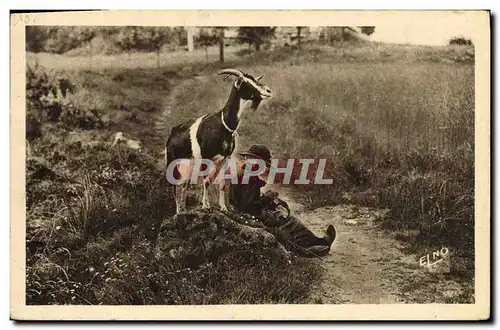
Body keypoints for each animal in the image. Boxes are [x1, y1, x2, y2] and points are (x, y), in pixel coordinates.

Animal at [164, 69, 274, 214]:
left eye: (255, 79)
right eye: (245, 82)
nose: (268, 91)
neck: (224, 125)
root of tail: (172, 134)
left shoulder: (225, 158)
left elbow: (221, 184)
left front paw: (223, 207)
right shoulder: (206, 157)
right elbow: (206, 181)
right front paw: (206, 206)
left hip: (189, 163)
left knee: (183, 184)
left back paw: (183, 209)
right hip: (173, 161)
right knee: (173, 186)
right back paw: (178, 211)